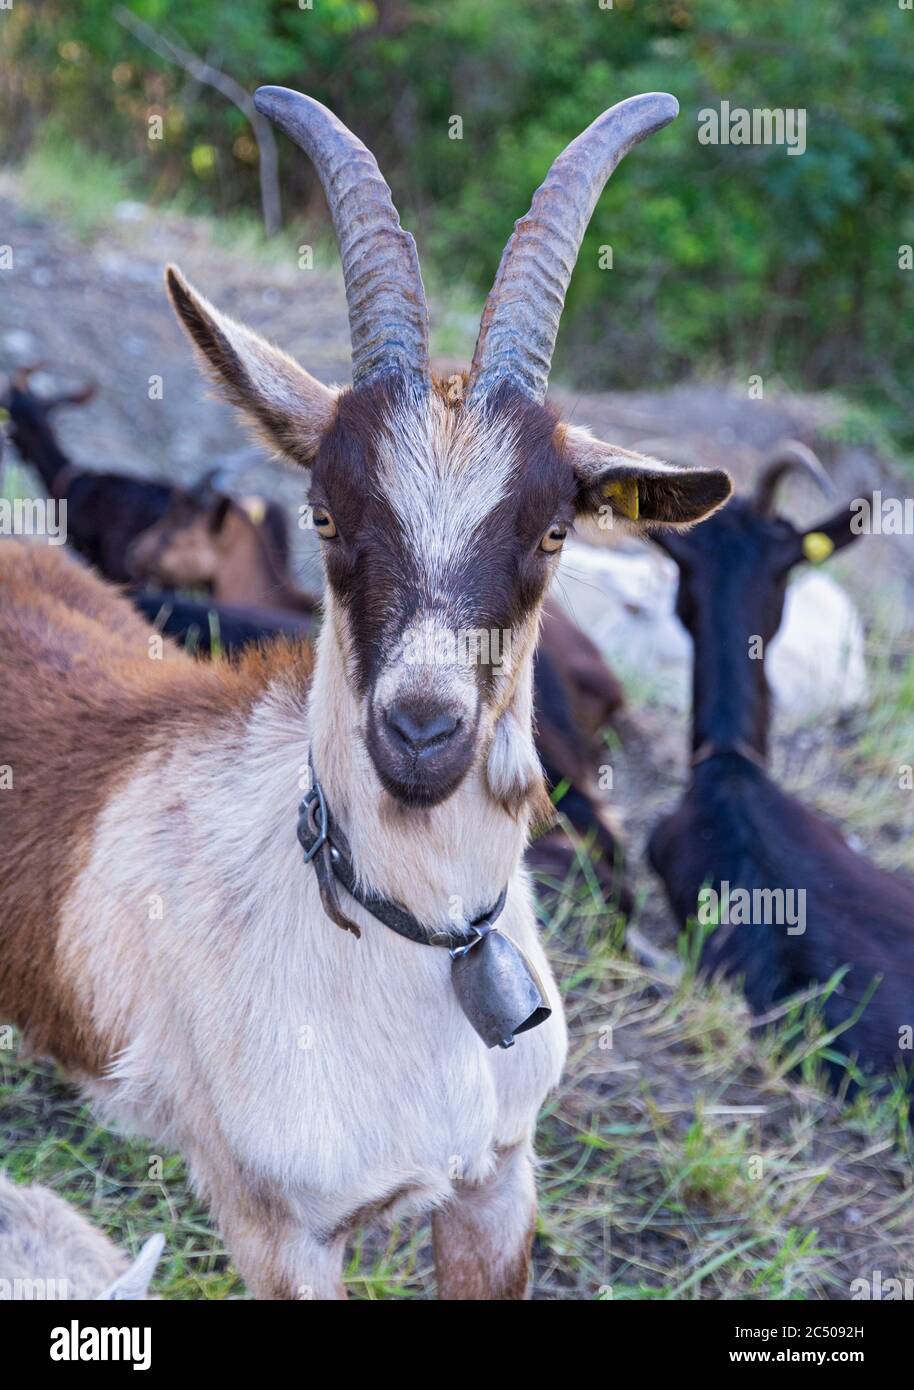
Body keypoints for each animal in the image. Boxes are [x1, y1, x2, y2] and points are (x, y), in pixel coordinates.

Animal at [0, 92, 727, 1295]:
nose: (420, 730)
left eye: (553, 531)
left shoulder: (499, 1178)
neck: (409, 943)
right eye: (327, 514)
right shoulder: (277, 1227)